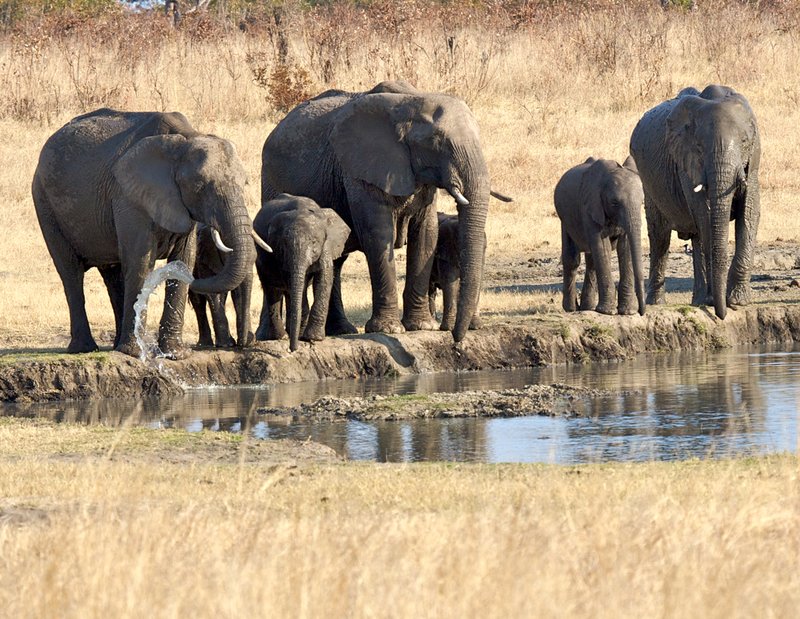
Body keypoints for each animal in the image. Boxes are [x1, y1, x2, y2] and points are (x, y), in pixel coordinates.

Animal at [32, 108, 263, 357]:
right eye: (200, 187)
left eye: (245, 183)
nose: (243, 343)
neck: (186, 137)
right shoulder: (128, 196)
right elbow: (141, 261)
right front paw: (135, 353)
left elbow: (184, 258)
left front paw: (175, 354)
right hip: (44, 202)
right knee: (71, 272)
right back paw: (85, 349)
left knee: (112, 274)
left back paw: (116, 345)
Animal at [254, 193, 351, 352]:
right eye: (284, 245)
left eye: (314, 242)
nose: (293, 349)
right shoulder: (281, 255)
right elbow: (294, 283)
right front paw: (303, 336)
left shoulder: (326, 247)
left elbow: (324, 279)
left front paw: (313, 338)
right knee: (273, 289)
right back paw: (281, 336)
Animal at [261, 80, 498, 343]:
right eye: (437, 141)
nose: (456, 339)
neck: (412, 100)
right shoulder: (360, 169)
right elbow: (378, 234)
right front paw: (390, 329)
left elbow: (426, 235)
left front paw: (421, 326)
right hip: (271, 182)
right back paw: (273, 336)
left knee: (336, 261)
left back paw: (341, 330)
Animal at [554, 156, 646, 316]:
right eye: (614, 202)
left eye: (642, 202)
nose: (641, 312)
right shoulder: (590, 208)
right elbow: (603, 247)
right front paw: (607, 312)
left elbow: (625, 247)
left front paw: (627, 312)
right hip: (565, 219)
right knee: (572, 259)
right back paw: (571, 309)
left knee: (591, 260)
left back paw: (587, 307)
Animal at [629, 85, 761, 319]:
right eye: (699, 146)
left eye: (745, 142)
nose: (721, 314)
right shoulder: (685, 161)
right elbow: (705, 214)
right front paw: (718, 302)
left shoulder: (752, 162)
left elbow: (749, 213)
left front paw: (738, 301)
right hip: (647, 180)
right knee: (660, 237)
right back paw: (658, 302)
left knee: (696, 236)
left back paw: (700, 300)